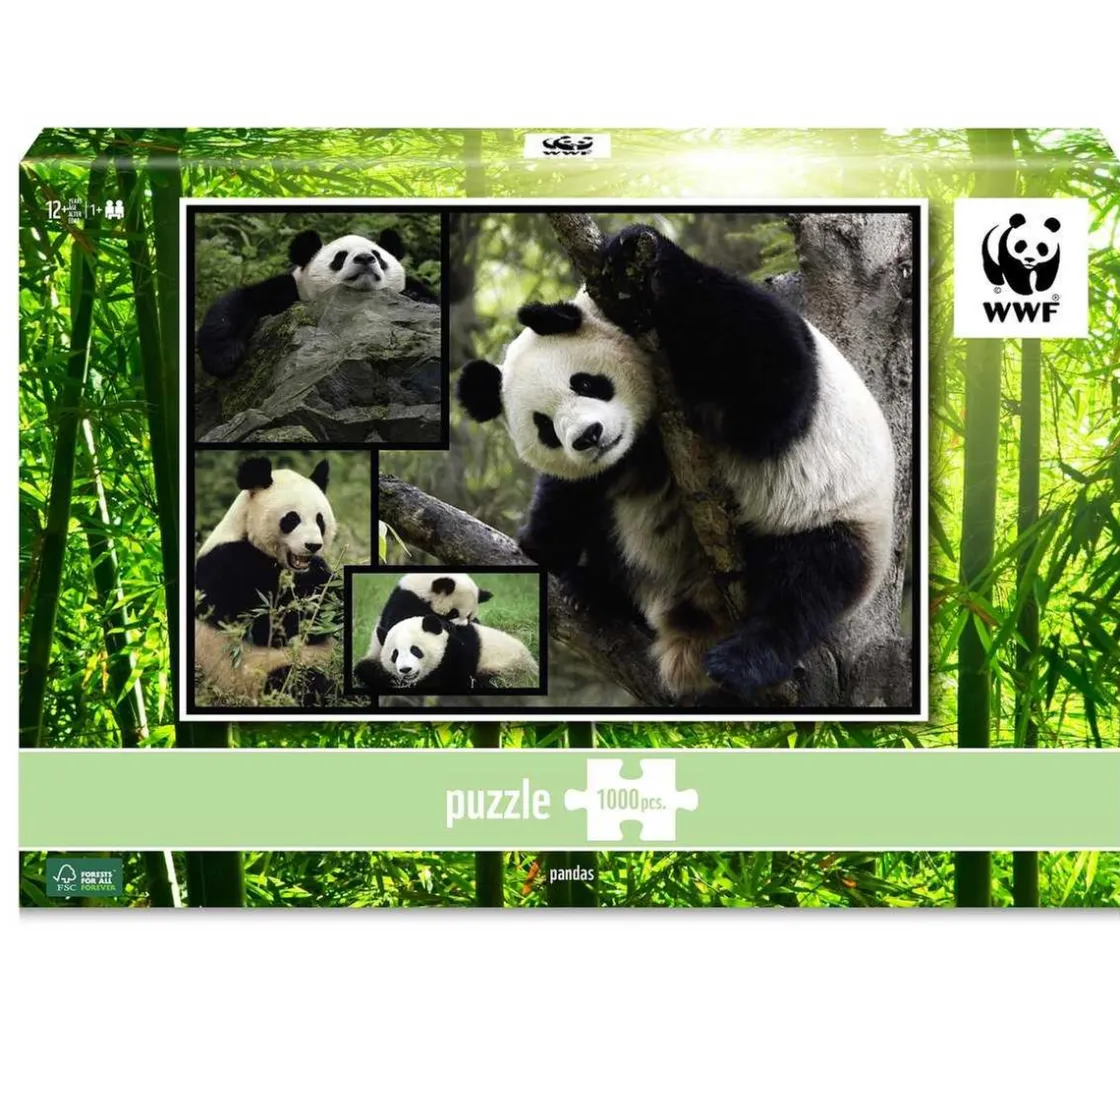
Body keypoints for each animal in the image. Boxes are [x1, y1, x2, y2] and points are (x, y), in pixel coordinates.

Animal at [194, 456, 339, 705]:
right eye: (292, 518)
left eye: (320, 519)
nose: (313, 545)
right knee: (298, 681)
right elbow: (268, 623)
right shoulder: (224, 567)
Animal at [197, 228, 438, 378]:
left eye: (378, 255)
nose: (365, 259)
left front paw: (418, 298)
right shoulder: (291, 291)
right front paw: (223, 358)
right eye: (340, 257)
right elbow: (240, 302)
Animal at [354, 572, 493, 681]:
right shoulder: (404, 601)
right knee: (367, 669)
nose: (461, 626)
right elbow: (399, 623)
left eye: (469, 616)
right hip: (377, 656)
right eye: (453, 613)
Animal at [369, 614, 538, 693]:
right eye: (395, 654)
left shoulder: (458, 655)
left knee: (490, 682)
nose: (405, 669)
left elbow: (455, 681)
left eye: (415, 650)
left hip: (509, 669)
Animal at [456, 223, 896, 703]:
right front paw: (542, 543)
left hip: (834, 514)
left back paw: (744, 659)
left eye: (586, 383)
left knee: (808, 581)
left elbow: (774, 383)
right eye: (545, 428)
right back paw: (596, 591)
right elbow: (570, 494)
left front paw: (634, 250)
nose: (589, 436)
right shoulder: (616, 459)